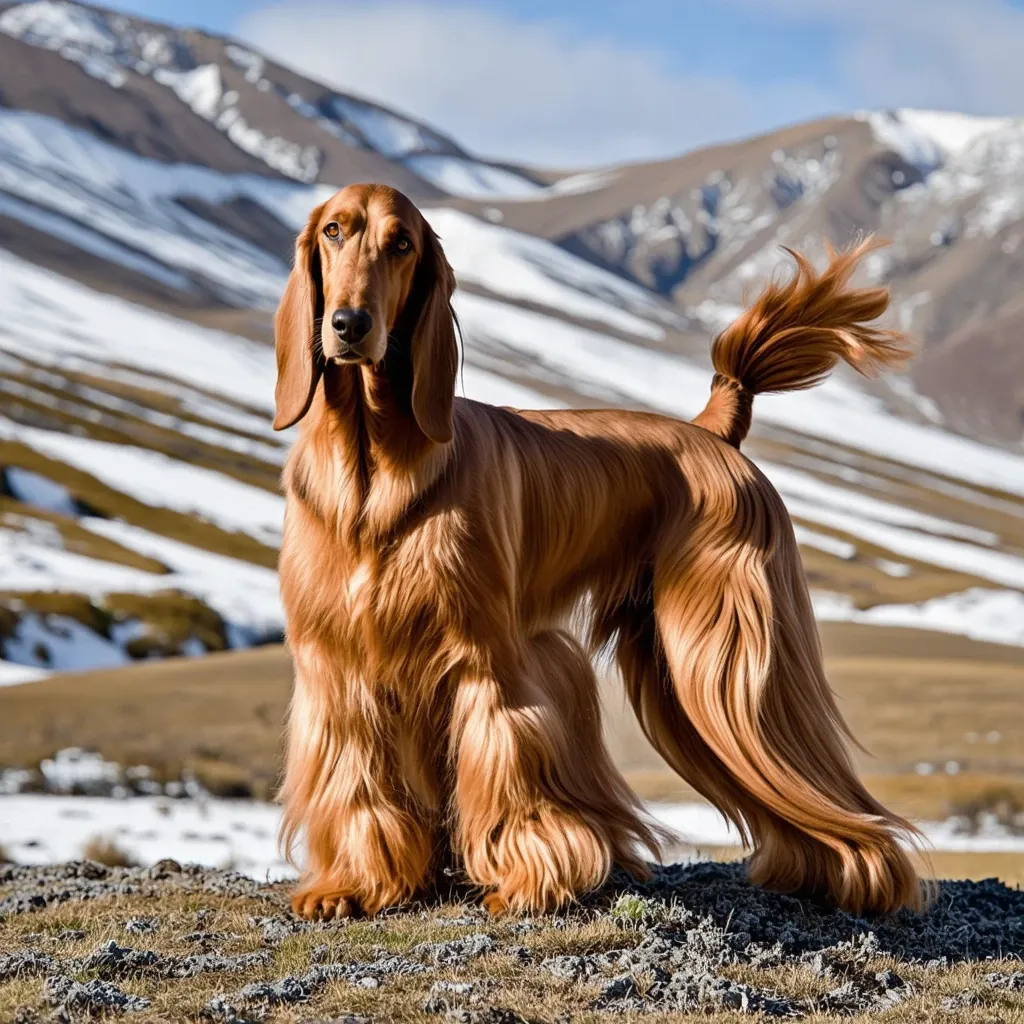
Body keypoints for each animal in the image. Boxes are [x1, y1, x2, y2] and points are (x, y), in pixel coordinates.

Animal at [270, 182, 921, 921]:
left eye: (401, 242)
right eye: (333, 231)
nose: (350, 323)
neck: (371, 472)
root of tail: (713, 431)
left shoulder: (485, 657)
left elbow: (506, 757)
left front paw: (526, 882)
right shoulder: (338, 666)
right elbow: (356, 781)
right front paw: (352, 883)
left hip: (727, 663)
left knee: (820, 782)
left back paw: (864, 878)